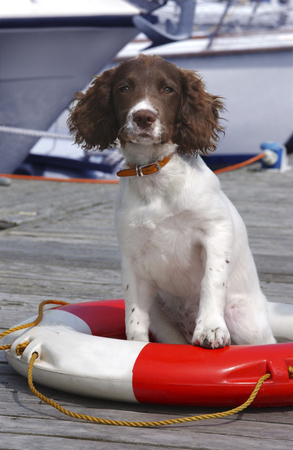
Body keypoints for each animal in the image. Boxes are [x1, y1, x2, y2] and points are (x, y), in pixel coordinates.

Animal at [68, 53, 290, 348]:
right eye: (124, 88)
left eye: (167, 89)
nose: (144, 117)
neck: (155, 176)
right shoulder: (132, 254)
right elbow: (134, 313)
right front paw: (134, 347)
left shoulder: (216, 230)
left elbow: (211, 280)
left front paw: (211, 328)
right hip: (162, 318)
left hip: (247, 323)